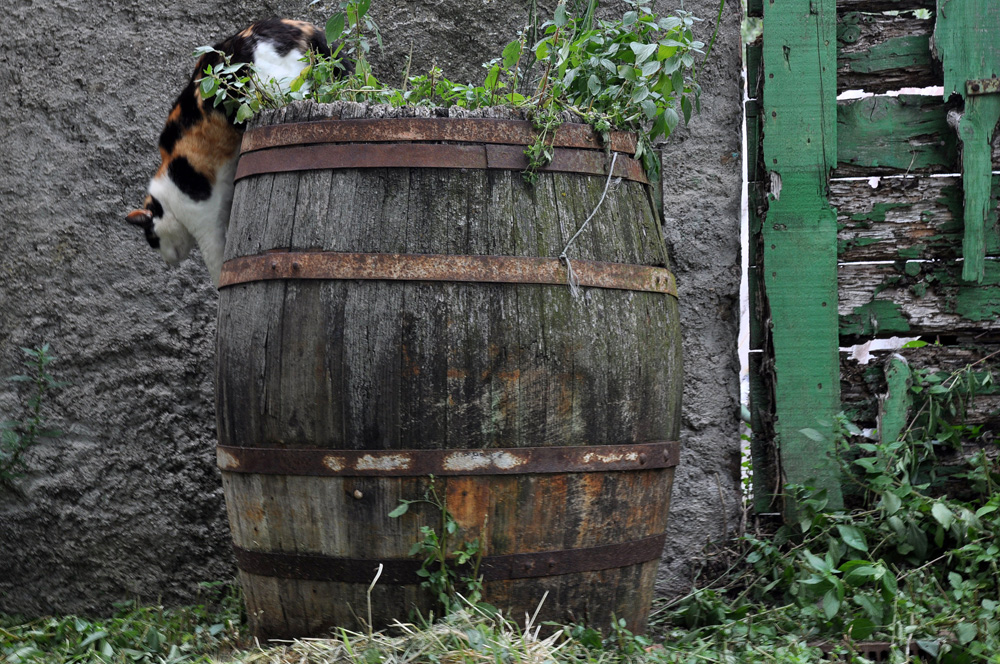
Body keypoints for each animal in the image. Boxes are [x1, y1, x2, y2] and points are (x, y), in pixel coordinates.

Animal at [127, 18, 330, 286]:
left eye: (152, 240)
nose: (167, 263)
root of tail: (302, 26)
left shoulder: (205, 221)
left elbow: (218, 265)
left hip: (277, 87)